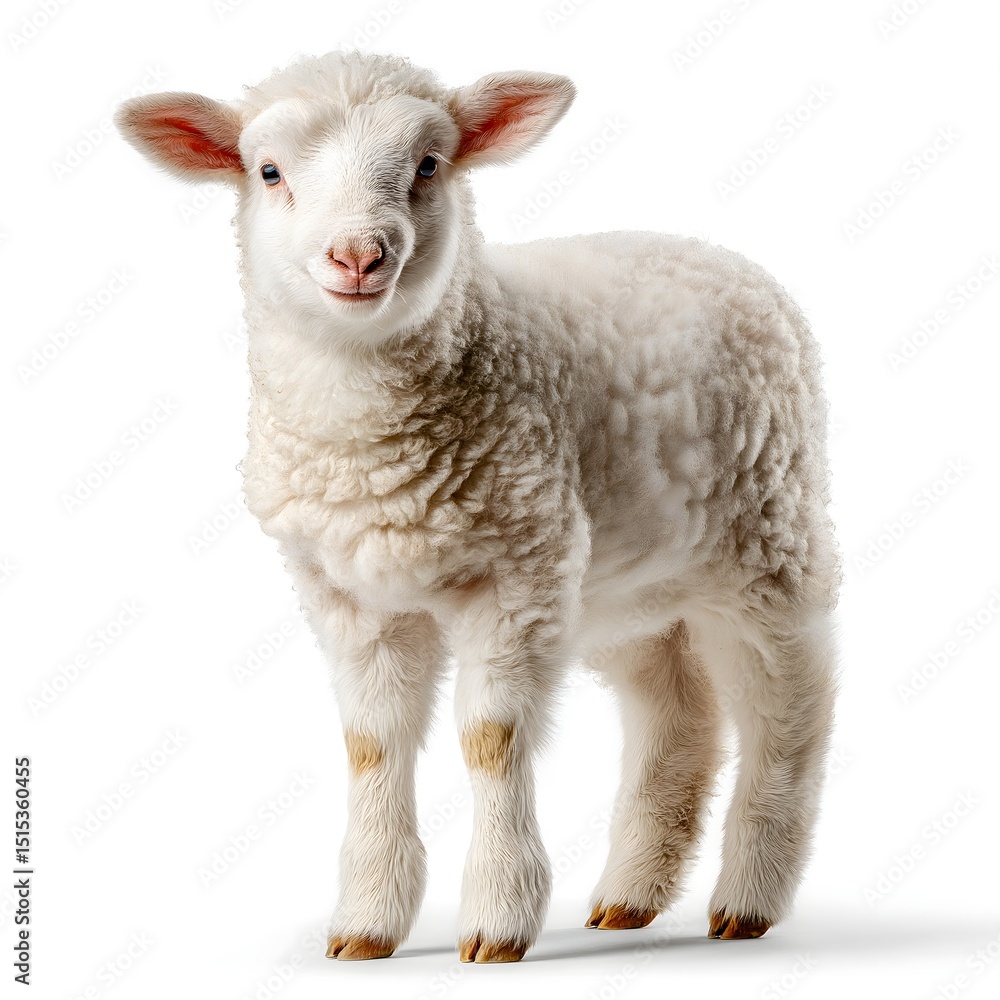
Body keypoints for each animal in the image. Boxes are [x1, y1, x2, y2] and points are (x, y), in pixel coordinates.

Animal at [114, 49, 839, 964]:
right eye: (268, 172)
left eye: (429, 165)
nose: (358, 256)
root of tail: (711, 253)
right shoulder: (349, 594)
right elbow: (371, 743)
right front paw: (367, 923)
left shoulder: (516, 575)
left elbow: (490, 740)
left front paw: (497, 919)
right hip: (623, 581)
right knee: (678, 714)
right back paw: (631, 897)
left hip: (768, 536)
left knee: (791, 709)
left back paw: (749, 897)